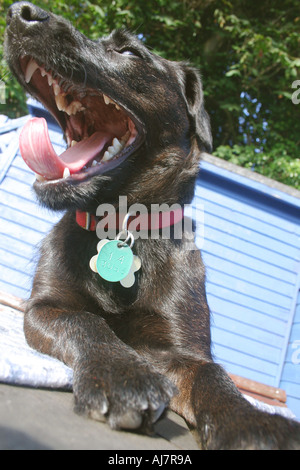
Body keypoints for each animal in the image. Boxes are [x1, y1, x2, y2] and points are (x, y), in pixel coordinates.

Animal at [4, 4, 300, 452]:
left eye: (129, 51)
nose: (21, 13)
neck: (121, 226)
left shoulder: (182, 352)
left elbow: (215, 375)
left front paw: (250, 422)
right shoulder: (46, 307)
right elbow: (88, 323)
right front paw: (123, 377)